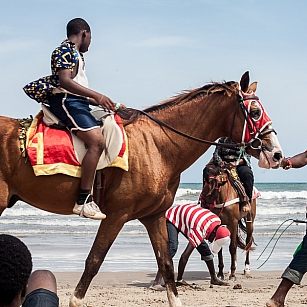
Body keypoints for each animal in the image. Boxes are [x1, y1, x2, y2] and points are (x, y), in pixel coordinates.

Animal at [0, 71, 282, 306]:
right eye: (255, 112)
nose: (277, 154)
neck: (157, 145)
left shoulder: (153, 216)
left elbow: (166, 265)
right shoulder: (116, 216)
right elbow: (94, 261)